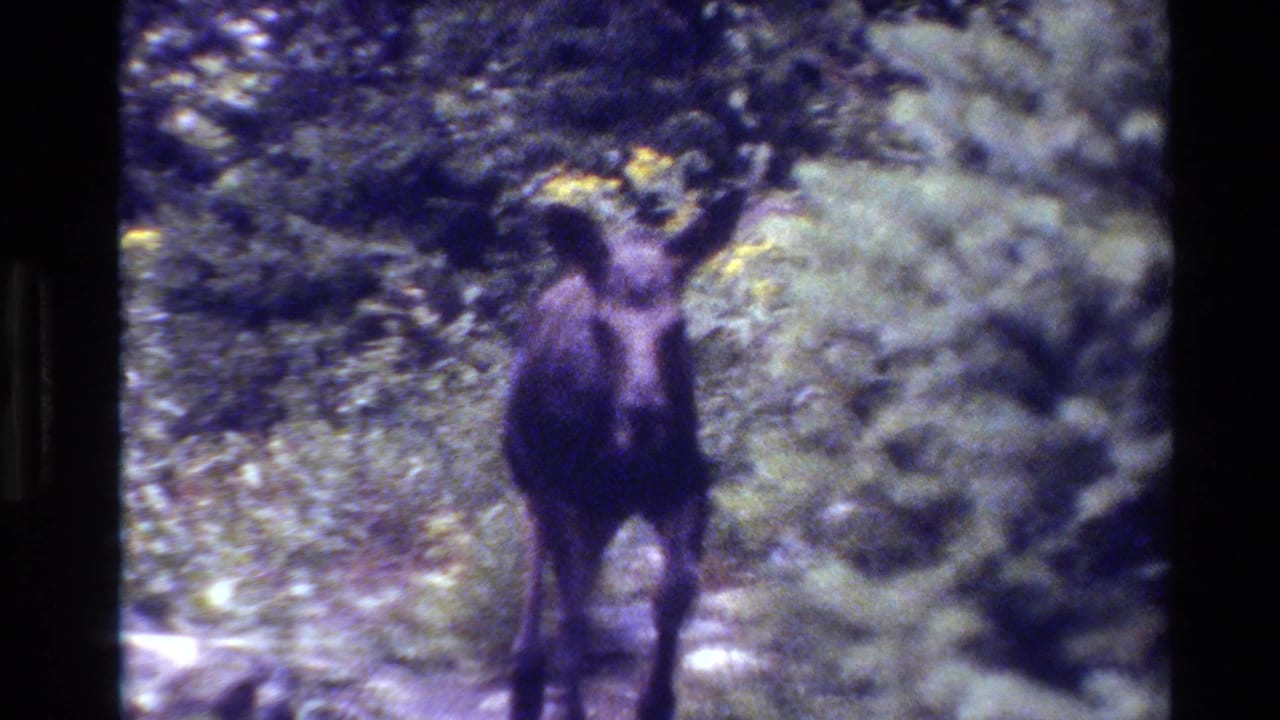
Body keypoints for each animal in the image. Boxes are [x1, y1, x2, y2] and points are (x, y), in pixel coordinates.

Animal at [504, 188, 746, 720]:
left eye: (677, 325)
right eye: (601, 325)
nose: (644, 412)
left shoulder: (687, 484)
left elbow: (675, 591)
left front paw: (655, 700)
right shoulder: (560, 492)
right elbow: (571, 611)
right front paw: (570, 706)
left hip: (602, 512)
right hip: (533, 479)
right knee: (542, 568)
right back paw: (526, 673)